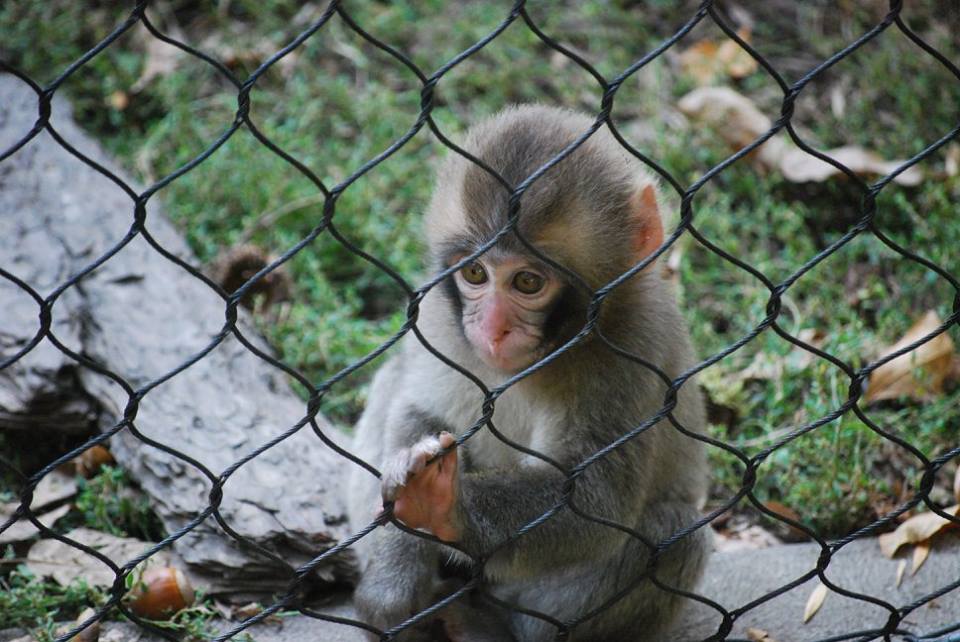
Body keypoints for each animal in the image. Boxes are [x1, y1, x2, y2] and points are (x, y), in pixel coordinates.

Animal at [347, 104, 709, 641]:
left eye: (528, 282)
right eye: (475, 274)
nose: (493, 329)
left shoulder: (632, 344)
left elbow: (594, 500)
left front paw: (444, 505)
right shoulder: (437, 316)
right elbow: (417, 409)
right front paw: (394, 580)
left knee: (675, 536)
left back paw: (494, 626)